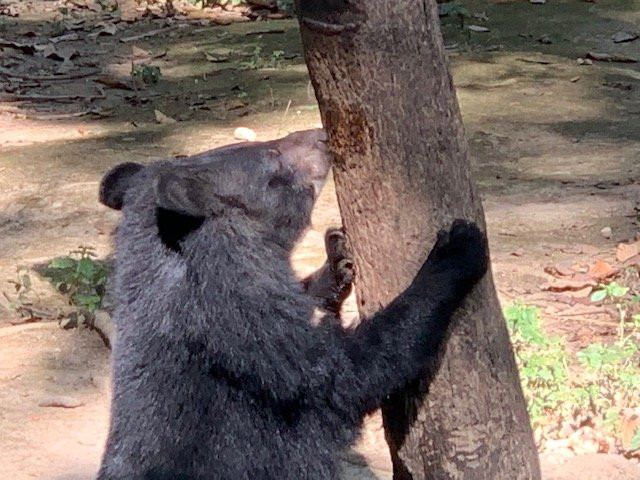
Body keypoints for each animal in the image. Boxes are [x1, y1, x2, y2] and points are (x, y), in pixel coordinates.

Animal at [95, 128, 488, 480]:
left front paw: (337, 259)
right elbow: (343, 372)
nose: (321, 135)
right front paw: (458, 249)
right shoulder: (244, 332)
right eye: (272, 156)